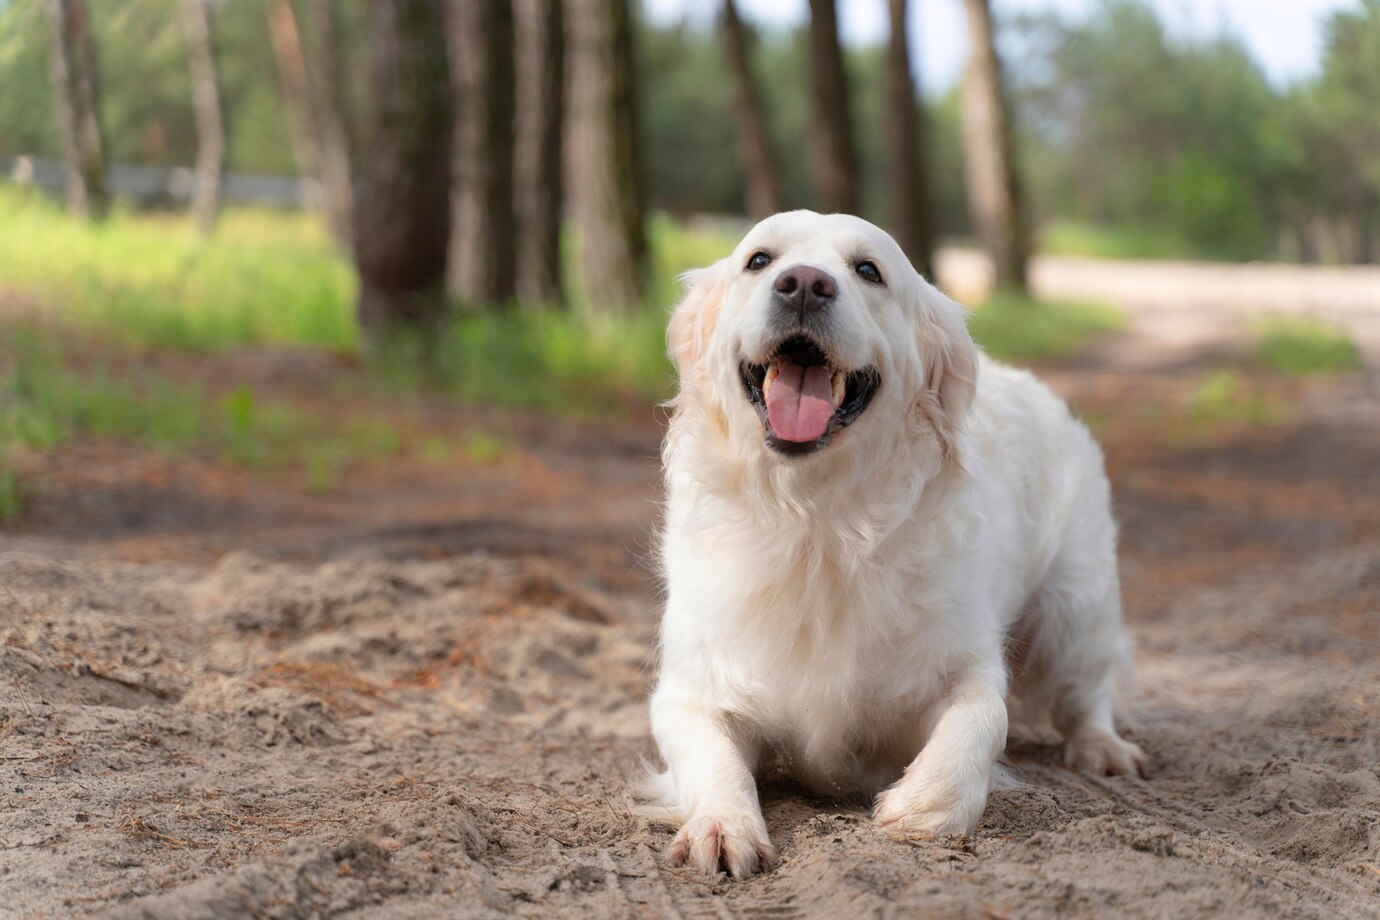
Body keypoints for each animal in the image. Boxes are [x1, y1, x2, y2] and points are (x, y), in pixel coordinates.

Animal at [645, 211, 1142, 877]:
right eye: (759, 260)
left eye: (868, 270)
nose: (804, 285)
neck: (818, 523)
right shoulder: (691, 688)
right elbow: (712, 757)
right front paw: (723, 826)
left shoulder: (962, 661)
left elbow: (985, 714)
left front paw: (925, 804)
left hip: (1076, 607)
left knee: (1088, 689)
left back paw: (1104, 748)